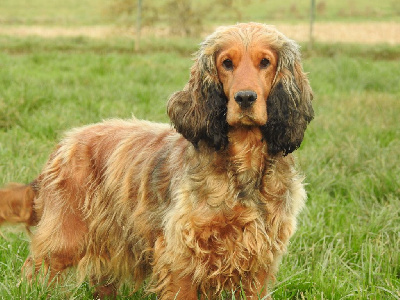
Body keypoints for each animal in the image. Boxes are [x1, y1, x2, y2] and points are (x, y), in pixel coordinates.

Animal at [0, 22, 312, 298]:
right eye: (227, 63)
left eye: (265, 62)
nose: (245, 98)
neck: (242, 166)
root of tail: (64, 143)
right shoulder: (181, 252)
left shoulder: (259, 258)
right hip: (64, 239)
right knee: (34, 273)